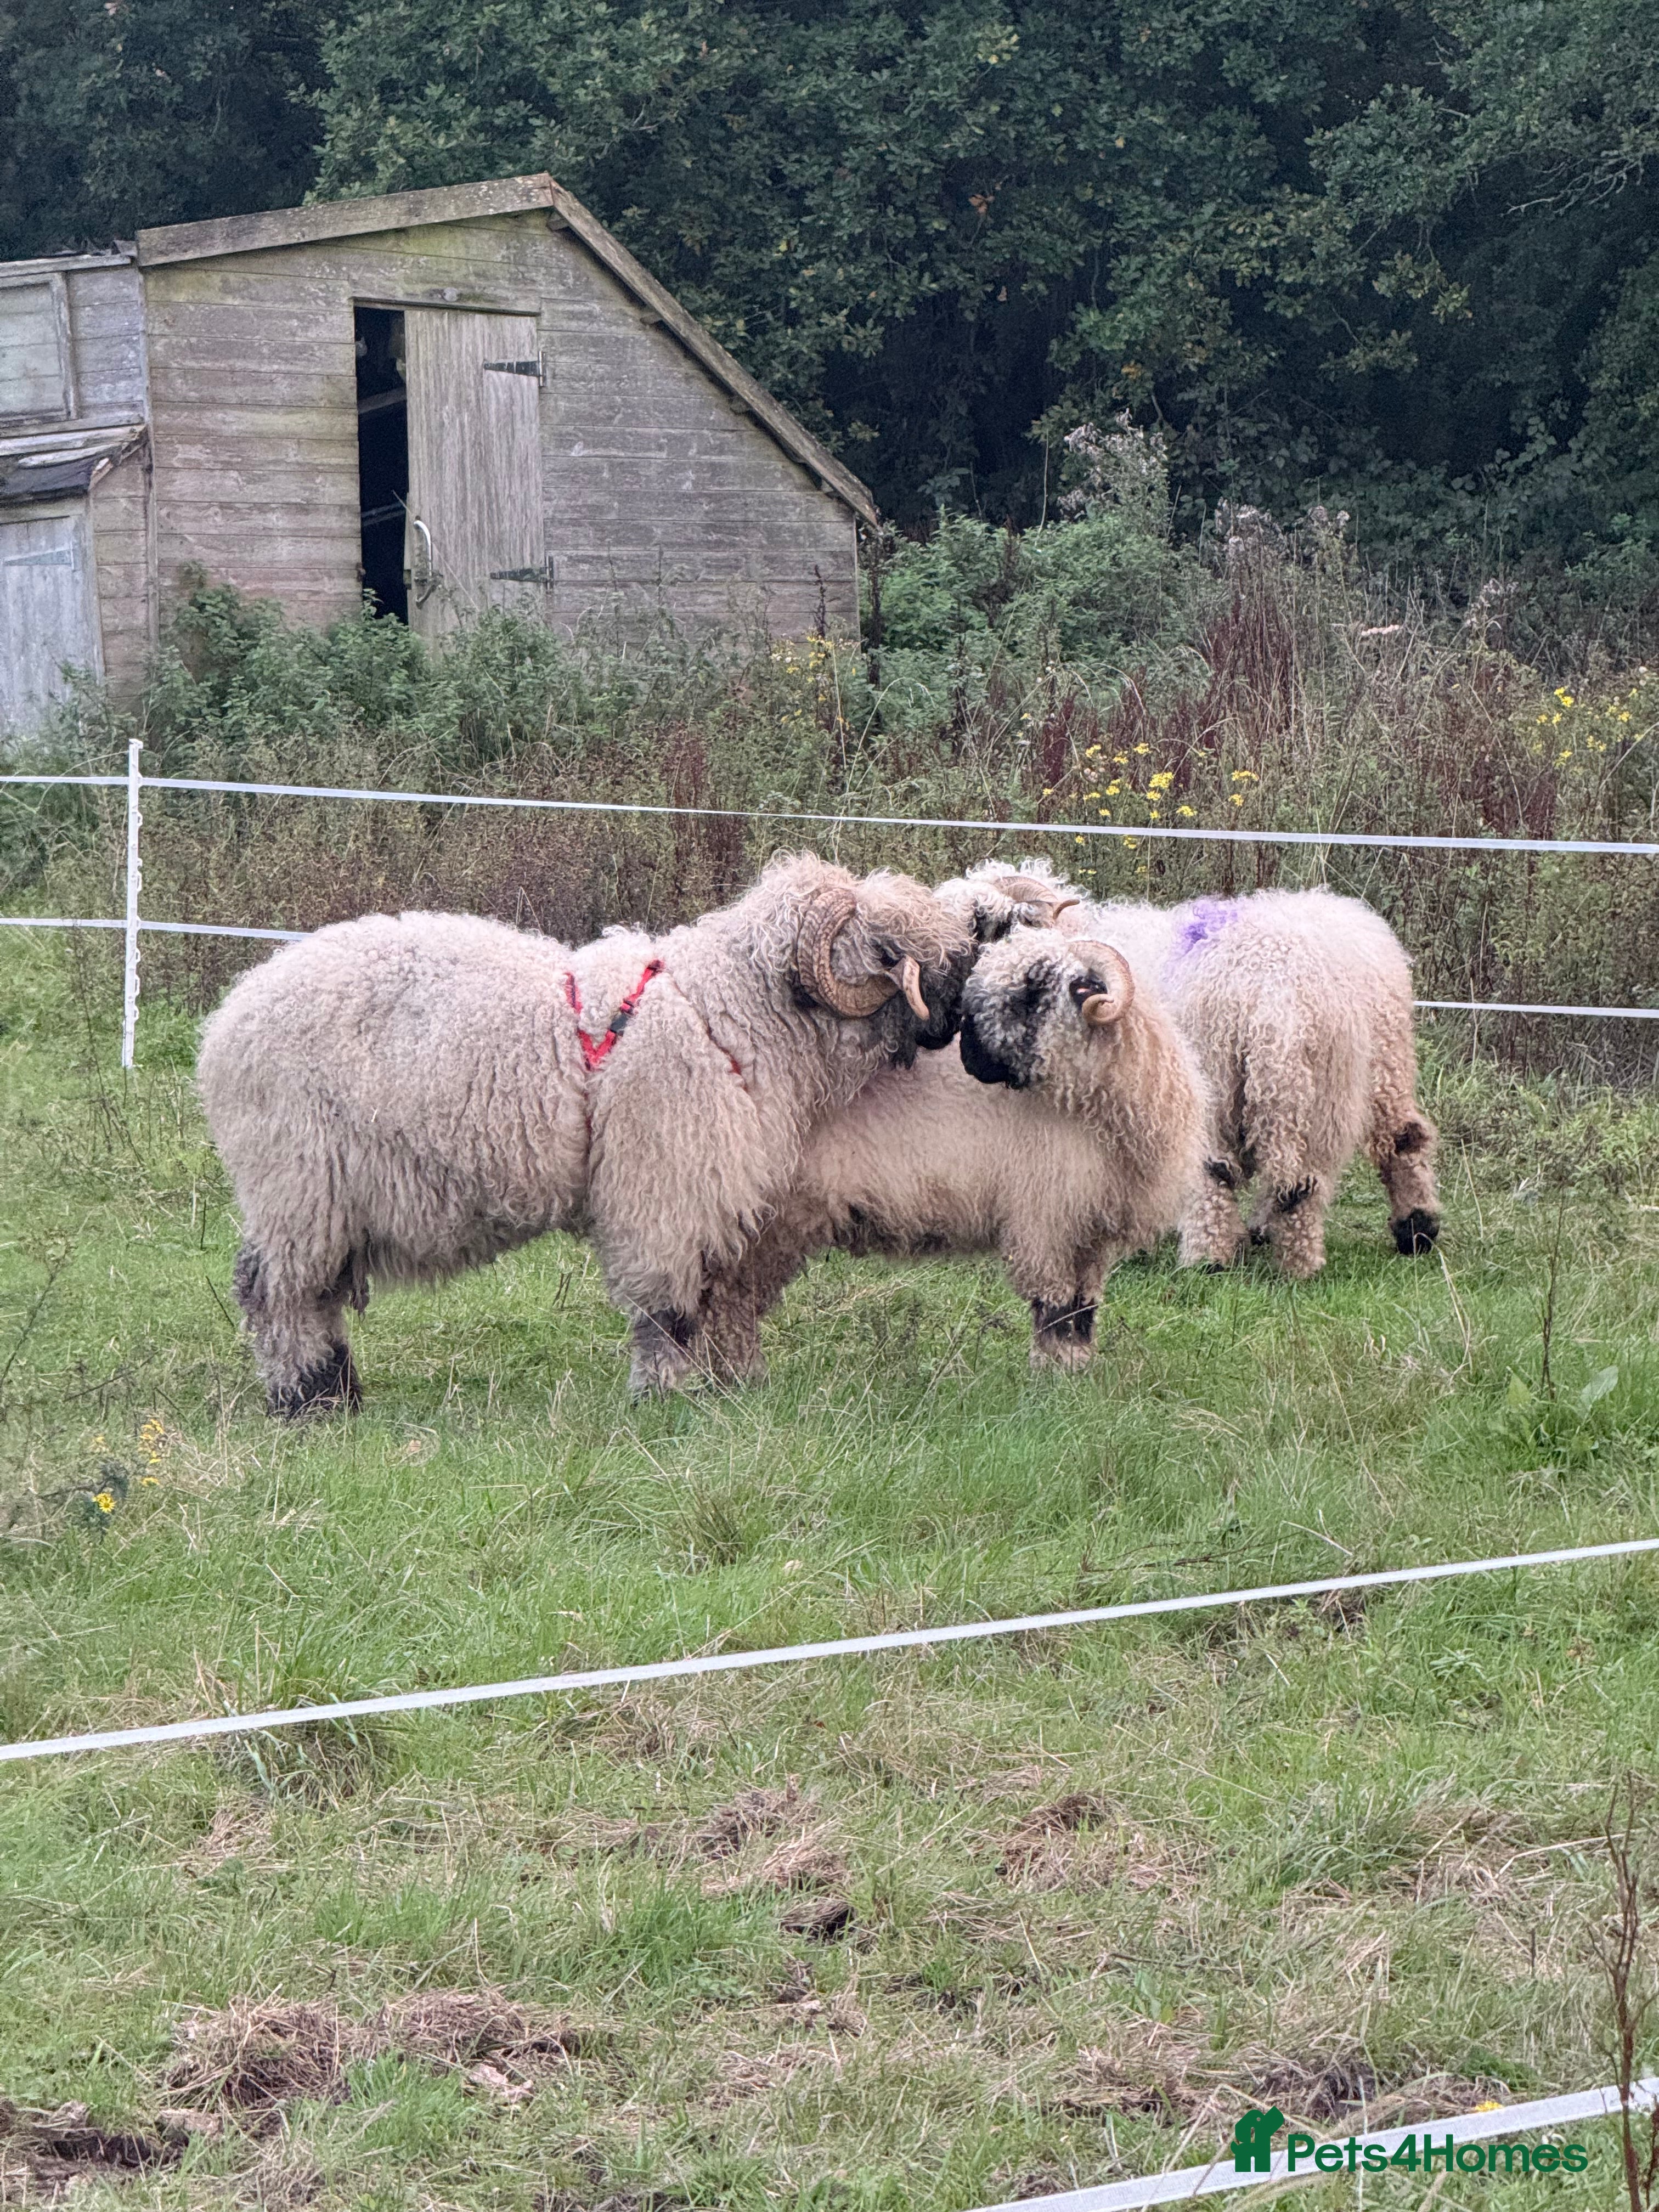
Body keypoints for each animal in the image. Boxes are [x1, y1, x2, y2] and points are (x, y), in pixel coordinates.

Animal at [197, 855, 976, 1415]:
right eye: (891, 950)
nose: (961, 1015)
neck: (726, 1014)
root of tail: (227, 1021)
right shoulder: (662, 1187)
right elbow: (667, 1309)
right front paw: (662, 1399)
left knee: (312, 1293)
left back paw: (339, 1394)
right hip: (298, 1179)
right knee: (274, 1292)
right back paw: (305, 1401)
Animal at [695, 926, 1207, 1376]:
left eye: (1032, 991)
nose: (969, 1057)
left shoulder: (1090, 1234)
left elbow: (1083, 1311)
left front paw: (1078, 1373)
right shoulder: (1046, 1222)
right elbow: (1056, 1310)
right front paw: (1052, 1379)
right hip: (762, 1221)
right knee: (730, 1298)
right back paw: (738, 1379)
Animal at [970, 860, 1441, 1279]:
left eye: (980, 926)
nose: (973, 1060)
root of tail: (1278, 998)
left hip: (1222, 1080)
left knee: (1217, 1172)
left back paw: (1208, 1259)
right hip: (1353, 1077)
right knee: (1381, 1146)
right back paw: (1405, 1231)